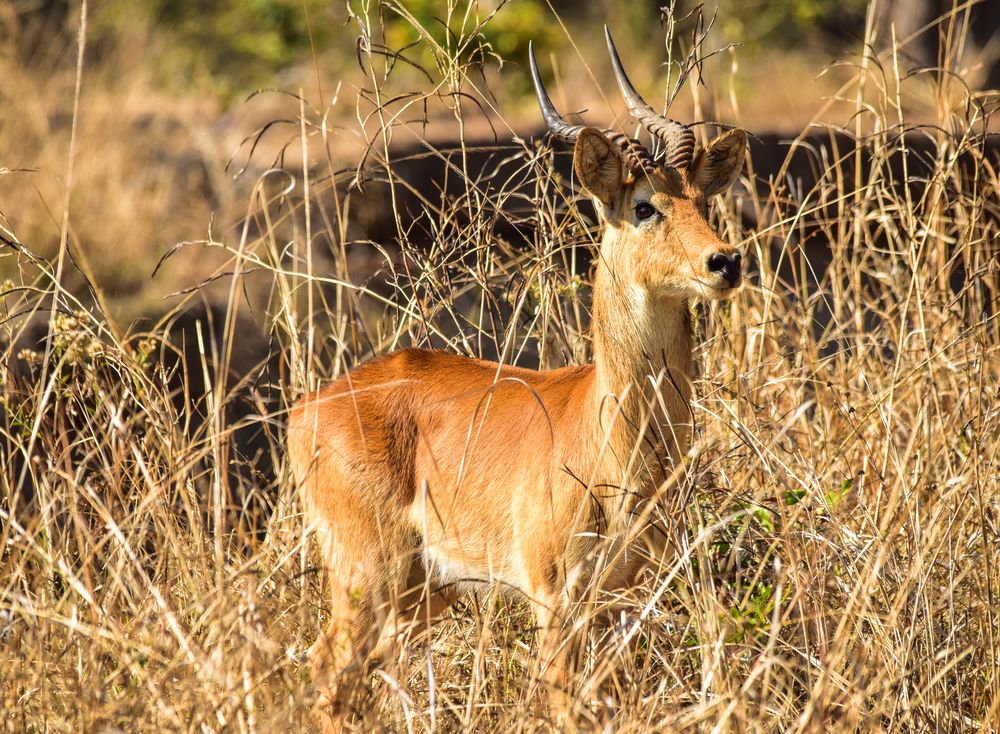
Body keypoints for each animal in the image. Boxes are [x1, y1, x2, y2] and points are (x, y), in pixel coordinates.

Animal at [286, 27, 748, 724]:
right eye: (645, 206)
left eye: (702, 199)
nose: (724, 261)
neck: (609, 435)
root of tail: (308, 407)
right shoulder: (552, 595)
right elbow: (562, 704)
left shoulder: (622, 600)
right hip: (368, 572)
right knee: (325, 668)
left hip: (422, 593)